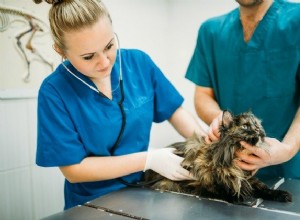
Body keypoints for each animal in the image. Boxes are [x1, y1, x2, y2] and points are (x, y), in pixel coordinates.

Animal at [144, 111, 292, 204]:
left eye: (257, 125)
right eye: (245, 126)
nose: (259, 131)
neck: (233, 158)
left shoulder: (248, 179)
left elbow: (265, 189)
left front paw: (281, 194)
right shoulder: (201, 182)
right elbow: (220, 188)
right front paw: (237, 196)